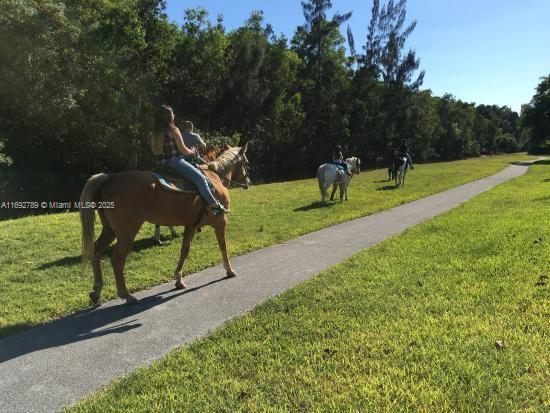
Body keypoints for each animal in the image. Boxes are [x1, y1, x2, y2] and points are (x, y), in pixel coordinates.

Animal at [80, 143, 252, 304]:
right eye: (246, 162)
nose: (248, 182)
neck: (214, 178)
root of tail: (109, 179)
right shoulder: (221, 222)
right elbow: (223, 246)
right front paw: (229, 270)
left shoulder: (191, 226)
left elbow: (184, 251)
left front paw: (178, 279)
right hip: (127, 233)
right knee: (117, 259)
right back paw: (126, 295)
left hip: (110, 229)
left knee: (97, 251)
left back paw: (96, 291)